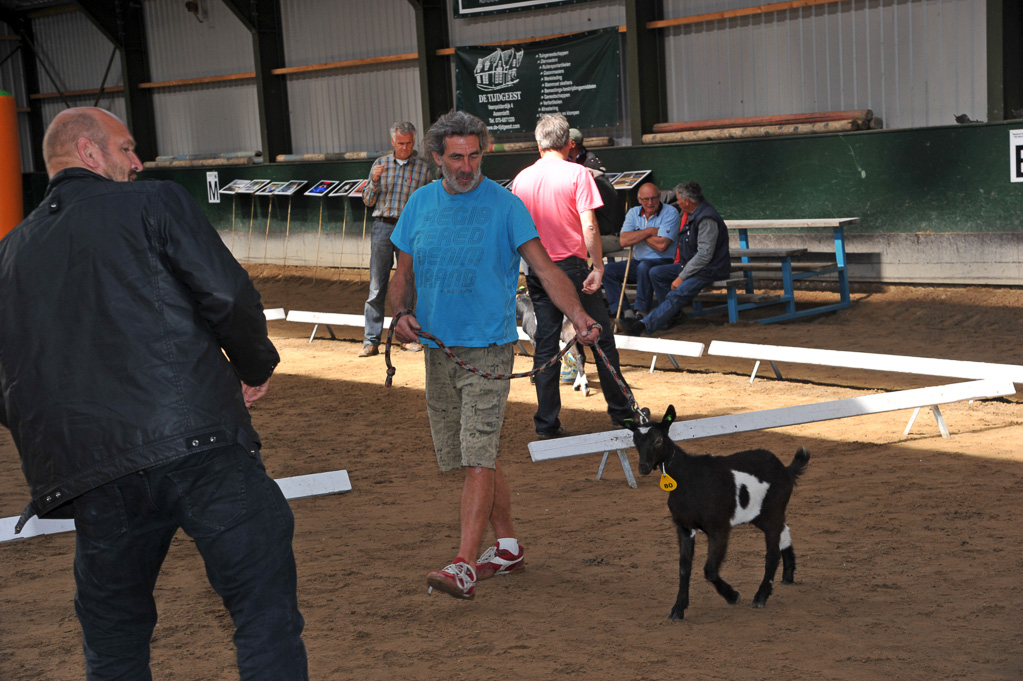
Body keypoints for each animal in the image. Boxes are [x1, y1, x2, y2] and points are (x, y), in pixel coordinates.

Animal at [626, 402, 810, 621]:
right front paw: (678, 608)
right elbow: (684, 568)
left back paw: (761, 596)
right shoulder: (684, 527)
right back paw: (788, 575)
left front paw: (733, 595)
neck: (688, 478)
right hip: (761, 514)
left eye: (659, 440)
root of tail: (786, 470)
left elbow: (710, 569)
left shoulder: (719, 528)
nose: (643, 467)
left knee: (772, 553)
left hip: (773, 510)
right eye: (635, 441)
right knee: (784, 531)